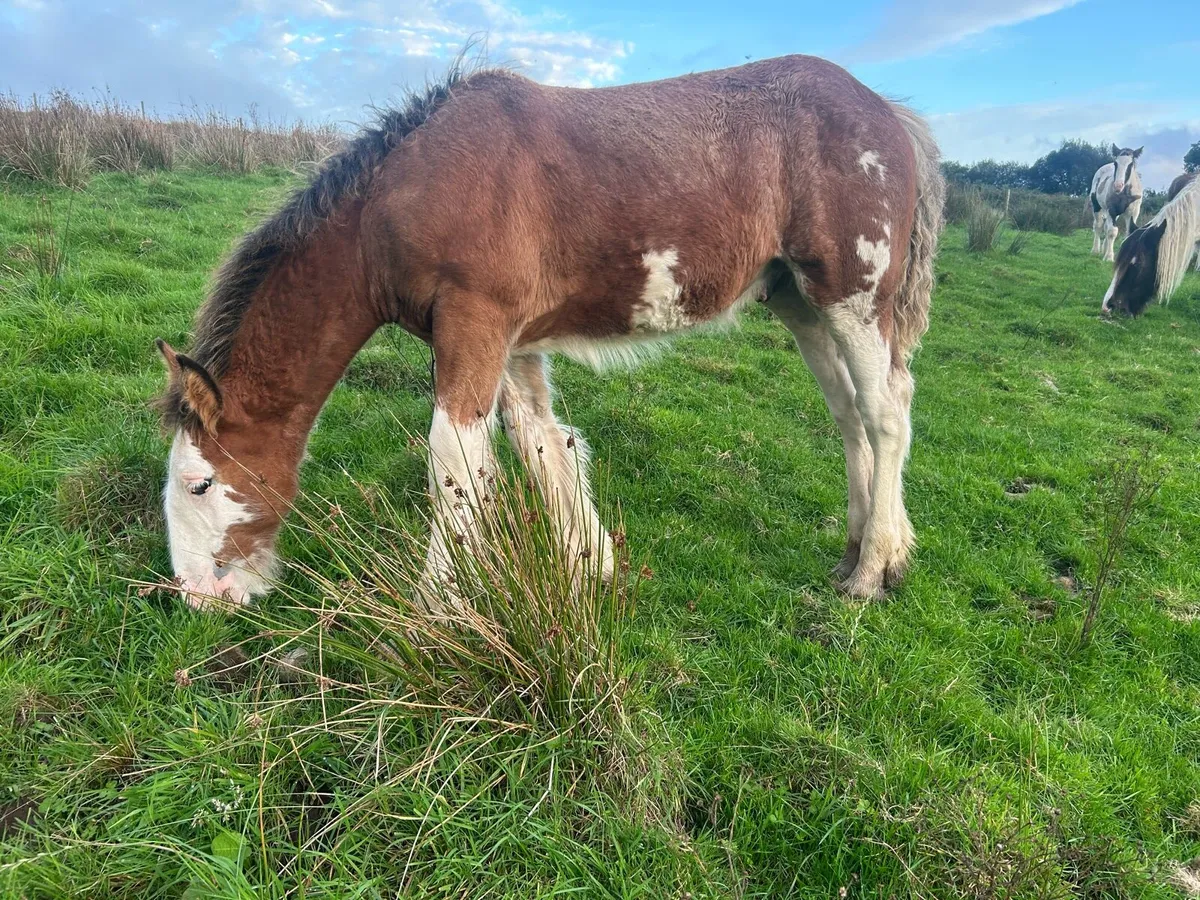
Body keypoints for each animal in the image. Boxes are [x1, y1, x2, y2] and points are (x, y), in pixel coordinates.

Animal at [154, 54, 945, 610]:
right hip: (801, 303)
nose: (197, 597)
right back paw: (855, 549)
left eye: (199, 483)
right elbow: (541, 443)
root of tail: (890, 113)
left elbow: (455, 461)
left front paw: (438, 607)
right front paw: (591, 566)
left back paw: (874, 570)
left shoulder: (474, 323)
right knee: (849, 416)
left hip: (852, 298)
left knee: (886, 414)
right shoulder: (509, 339)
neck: (402, 197)